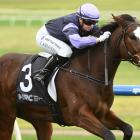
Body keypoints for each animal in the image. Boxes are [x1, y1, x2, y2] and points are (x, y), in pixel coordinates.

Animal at [0, 14, 140, 140]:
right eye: (132, 36)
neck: (89, 72)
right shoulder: (79, 116)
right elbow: (108, 135)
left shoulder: (103, 114)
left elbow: (128, 128)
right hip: (7, 115)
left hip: (37, 116)